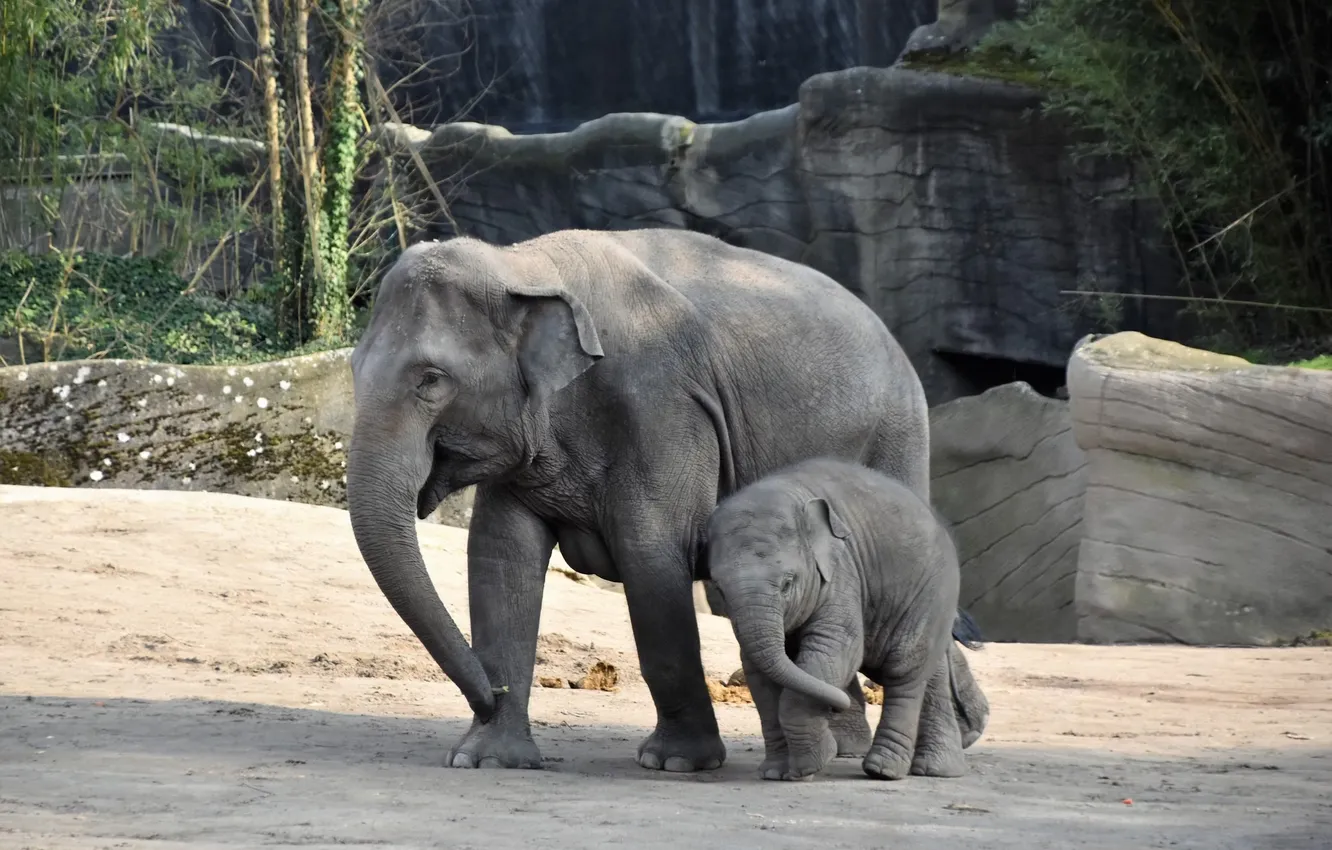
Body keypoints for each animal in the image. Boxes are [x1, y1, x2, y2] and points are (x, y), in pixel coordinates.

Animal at [345, 227, 933, 773]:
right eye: (351, 368)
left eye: (431, 379)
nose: (491, 695)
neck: (523, 264)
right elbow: (500, 557)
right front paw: (488, 759)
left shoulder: (663, 407)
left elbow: (651, 557)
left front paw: (677, 763)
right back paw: (842, 746)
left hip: (896, 438)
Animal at [703, 456, 984, 781]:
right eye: (719, 588)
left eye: (788, 583)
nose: (834, 708)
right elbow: (758, 671)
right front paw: (776, 772)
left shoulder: (841, 572)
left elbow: (835, 649)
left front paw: (810, 765)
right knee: (928, 671)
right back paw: (937, 770)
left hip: (931, 591)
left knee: (904, 671)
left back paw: (884, 770)